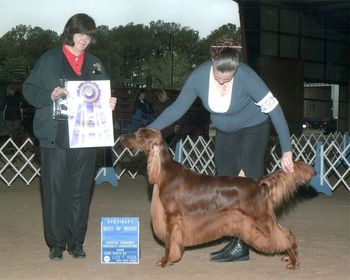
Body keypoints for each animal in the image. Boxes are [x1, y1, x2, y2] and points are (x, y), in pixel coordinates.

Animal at [119, 128, 314, 270]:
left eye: (138, 135)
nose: (121, 138)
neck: (164, 171)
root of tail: (258, 183)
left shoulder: (172, 217)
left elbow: (168, 243)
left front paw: (166, 261)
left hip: (261, 219)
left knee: (286, 236)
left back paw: (294, 262)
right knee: (285, 233)